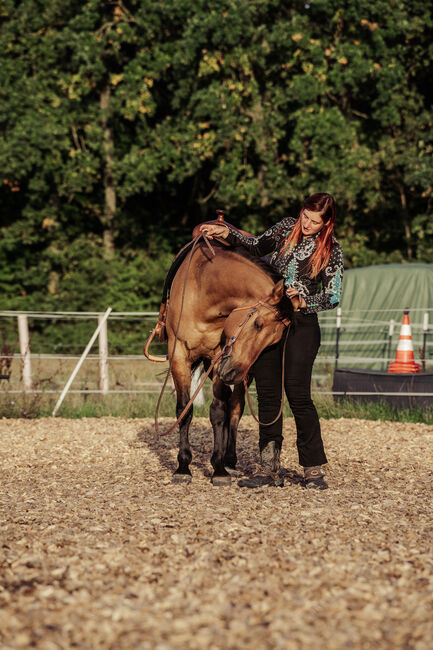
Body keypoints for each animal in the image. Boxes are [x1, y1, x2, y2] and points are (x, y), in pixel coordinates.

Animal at [145, 235, 294, 484]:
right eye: (257, 323)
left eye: (274, 342)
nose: (234, 373)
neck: (204, 292)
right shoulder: (179, 356)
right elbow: (184, 410)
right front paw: (183, 467)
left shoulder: (219, 359)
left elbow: (218, 412)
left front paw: (219, 468)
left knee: (234, 408)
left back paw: (229, 460)